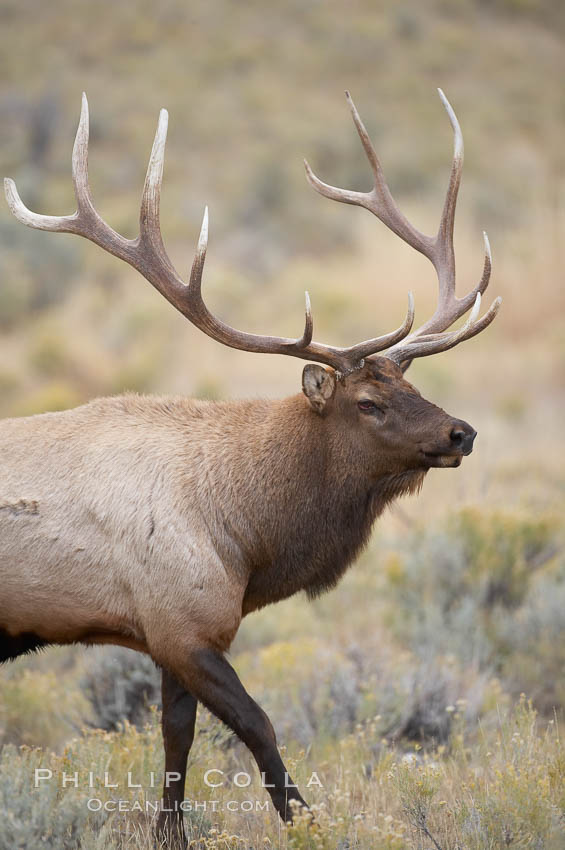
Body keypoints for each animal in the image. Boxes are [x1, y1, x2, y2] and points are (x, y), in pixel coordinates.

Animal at [2, 89, 500, 844]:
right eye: (369, 402)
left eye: (410, 386)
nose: (461, 432)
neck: (244, 534)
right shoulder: (182, 623)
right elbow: (259, 725)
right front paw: (307, 823)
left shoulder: (174, 633)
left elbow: (175, 741)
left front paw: (170, 835)